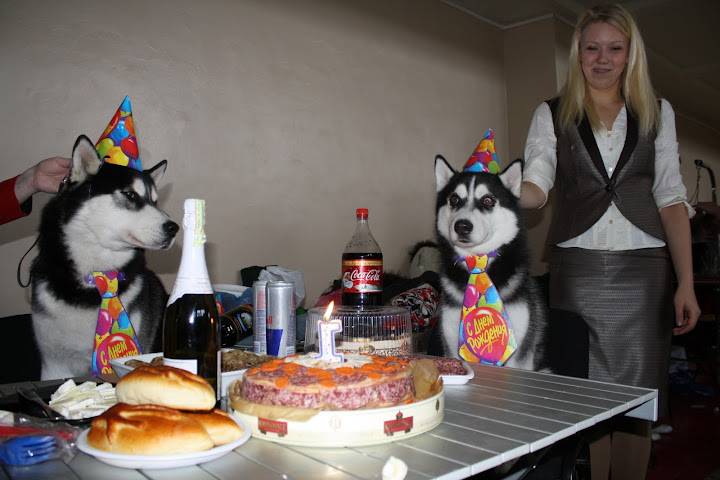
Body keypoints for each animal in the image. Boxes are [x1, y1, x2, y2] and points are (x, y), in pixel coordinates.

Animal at [428, 155, 548, 370]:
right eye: (454, 199)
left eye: (487, 200)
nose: (462, 226)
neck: (478, 264)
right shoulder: (451, 343)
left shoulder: (520, 355)